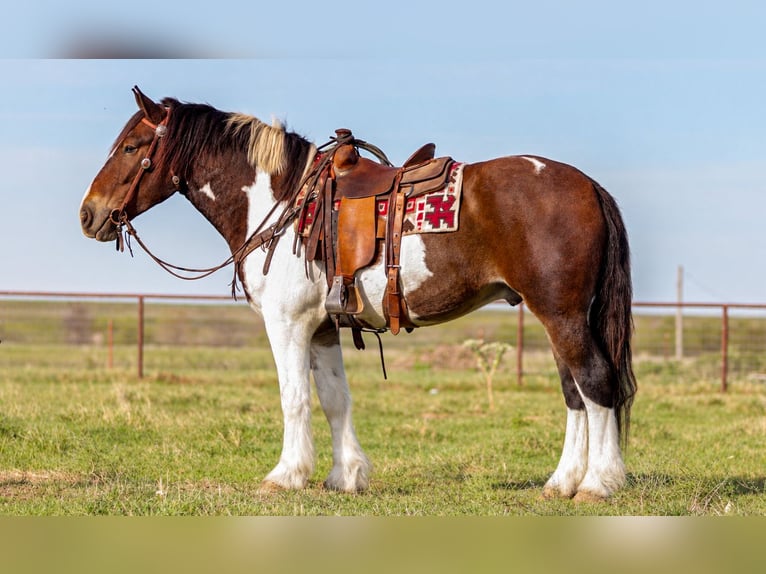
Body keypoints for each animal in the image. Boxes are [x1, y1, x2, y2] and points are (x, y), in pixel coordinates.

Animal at [79, 86, 636, 501]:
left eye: (131, 148)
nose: (88, 214)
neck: (283, 201)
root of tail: (587, 186)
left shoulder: (287, 324)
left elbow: (294, 398)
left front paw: (286, 475)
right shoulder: (324, 328)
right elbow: (334, 399)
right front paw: (344, 476)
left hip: (562, 315)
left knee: (595, 382)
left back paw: (598, 483)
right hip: (558, 317)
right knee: (575, 393)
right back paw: (562, 482)